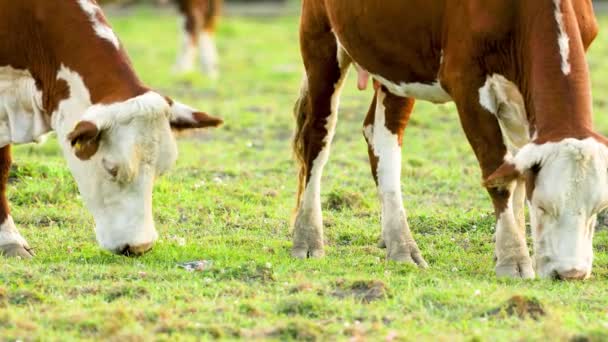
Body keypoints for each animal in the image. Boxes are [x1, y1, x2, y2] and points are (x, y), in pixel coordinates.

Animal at [294, 0, 604, 280]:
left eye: (598, 209)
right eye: (542, 206)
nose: (571, 274)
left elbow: (517, 173)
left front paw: (508, 249)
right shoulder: (467, 83)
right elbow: (500, 177)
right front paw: (513, 259)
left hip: (395, 60)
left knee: (382, 136)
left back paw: (399, 244)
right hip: (320, 38)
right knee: (317, 137)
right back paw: (308, 238)